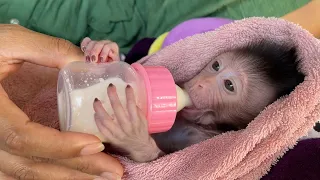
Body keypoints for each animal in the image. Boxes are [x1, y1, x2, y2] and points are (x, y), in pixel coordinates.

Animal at [80, 37, 304, 162]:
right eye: (215, 65)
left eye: (229, 85)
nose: (202, 83)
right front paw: (106, 51)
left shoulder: (201, 140)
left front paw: (134, 138)